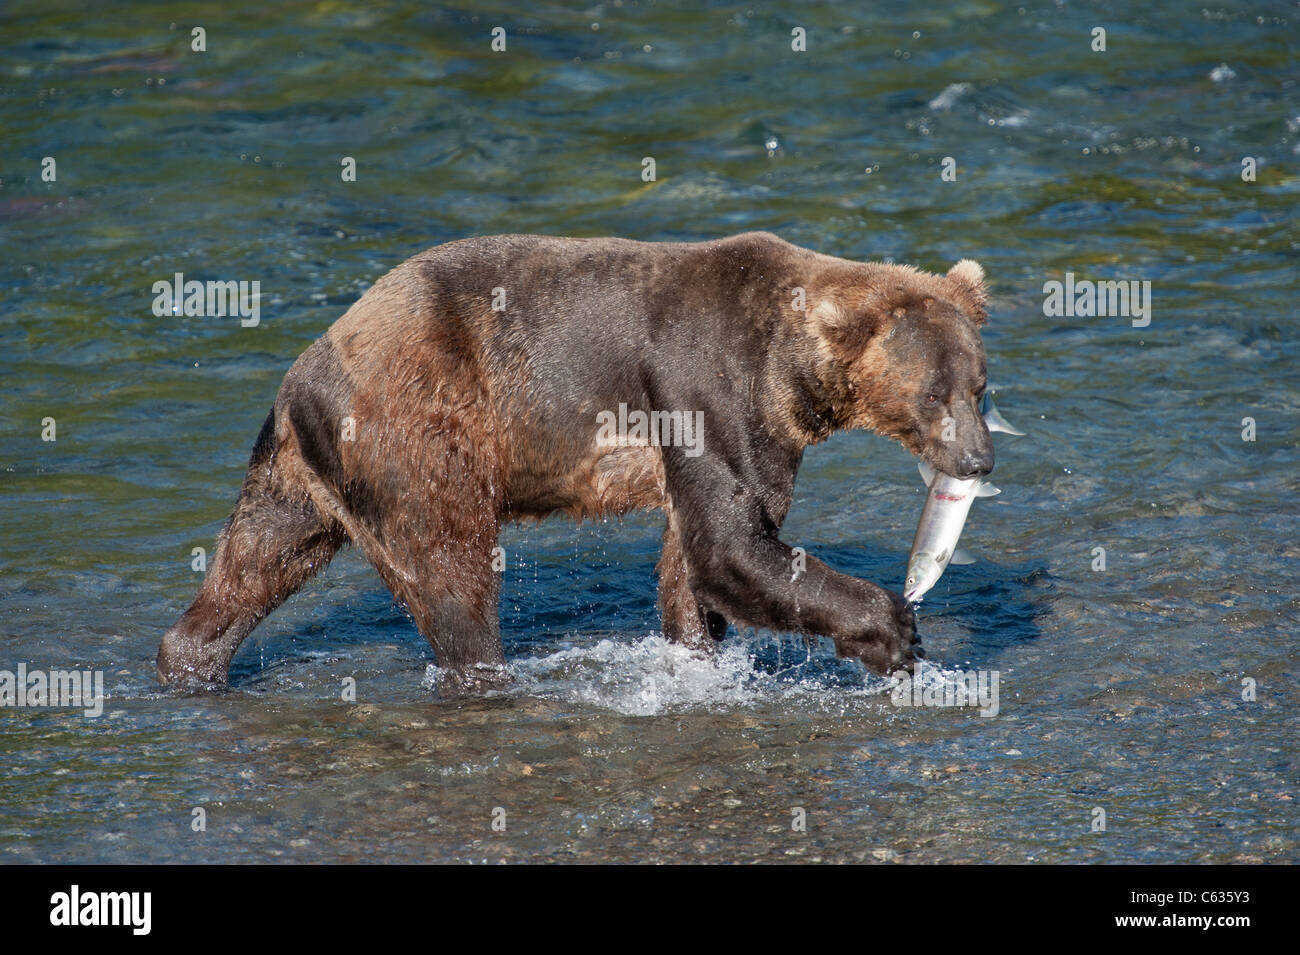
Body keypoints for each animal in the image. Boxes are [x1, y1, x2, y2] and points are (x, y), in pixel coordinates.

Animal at [157, 232, 994, 693]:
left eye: (981, 386)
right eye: (933, 394)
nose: (980, 458)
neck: (791, 371)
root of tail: (304, 372)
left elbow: (695, 561)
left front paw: (698, 650)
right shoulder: (707, 389)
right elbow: (734, 546)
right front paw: (894, 630)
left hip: (298, 471)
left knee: (255, 561)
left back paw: (191, 660)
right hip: (418, 432)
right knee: (453, 575)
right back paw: (486, 672)